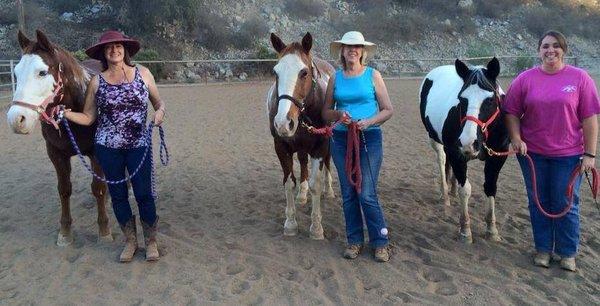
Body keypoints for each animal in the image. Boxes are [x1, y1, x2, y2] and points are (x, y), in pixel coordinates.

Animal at [6, 30, 111, 246]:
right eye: (16, 73)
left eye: (42, 72)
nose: (16, 120)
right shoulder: (56, 154)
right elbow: (64, 189)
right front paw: (65, 232)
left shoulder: (96, 153)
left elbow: (98, 188)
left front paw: (104, 230)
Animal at [268, 32, 338, 239]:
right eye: (275, 72)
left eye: (304, 72)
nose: (283, 122)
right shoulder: (281, 146)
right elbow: (289, 183)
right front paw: (290, 223)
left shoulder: (320, 146)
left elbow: (316, 184)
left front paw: (316, 227)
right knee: (303, 162)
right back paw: (302, 194)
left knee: (328, 162)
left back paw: (328, 190)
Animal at [420, 58, 508, 244]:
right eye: (461, 99)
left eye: (490, 100)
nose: (469, 142)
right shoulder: (457, 154)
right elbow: (465, 189)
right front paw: (465, 230)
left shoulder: (497, 157)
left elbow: (490, 187)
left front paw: (492, 229)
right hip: (435, 140)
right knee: (442, 160)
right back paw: (445, 194)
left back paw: (451, 189)